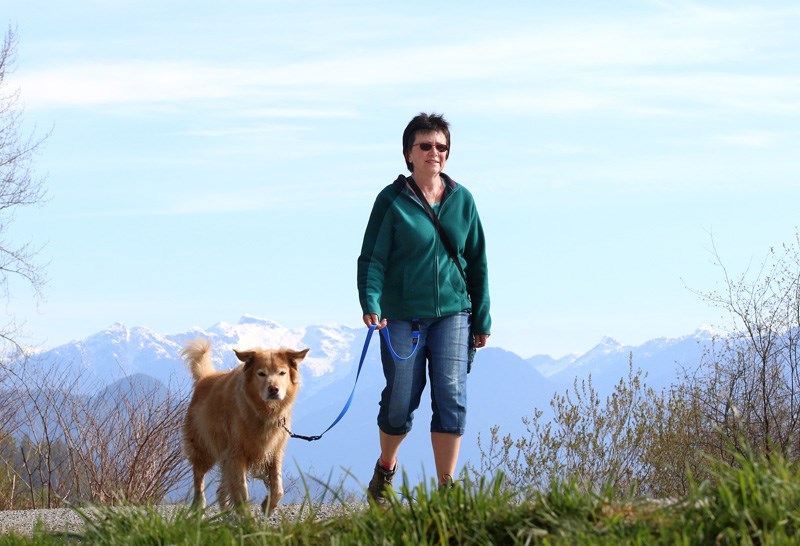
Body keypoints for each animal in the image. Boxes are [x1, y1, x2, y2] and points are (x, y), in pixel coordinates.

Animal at [182, 338, 310, 512]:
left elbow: (278, 488)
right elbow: (242, 491)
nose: (273, 389)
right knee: (199, 478)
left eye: (282, 373)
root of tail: (205, 378)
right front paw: (247, 517)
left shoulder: (274, 451)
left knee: (221, 490)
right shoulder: (237, 453)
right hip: (203, 449)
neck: (264, 412)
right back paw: (200, 507)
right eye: (261, 373)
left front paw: (267, 505)